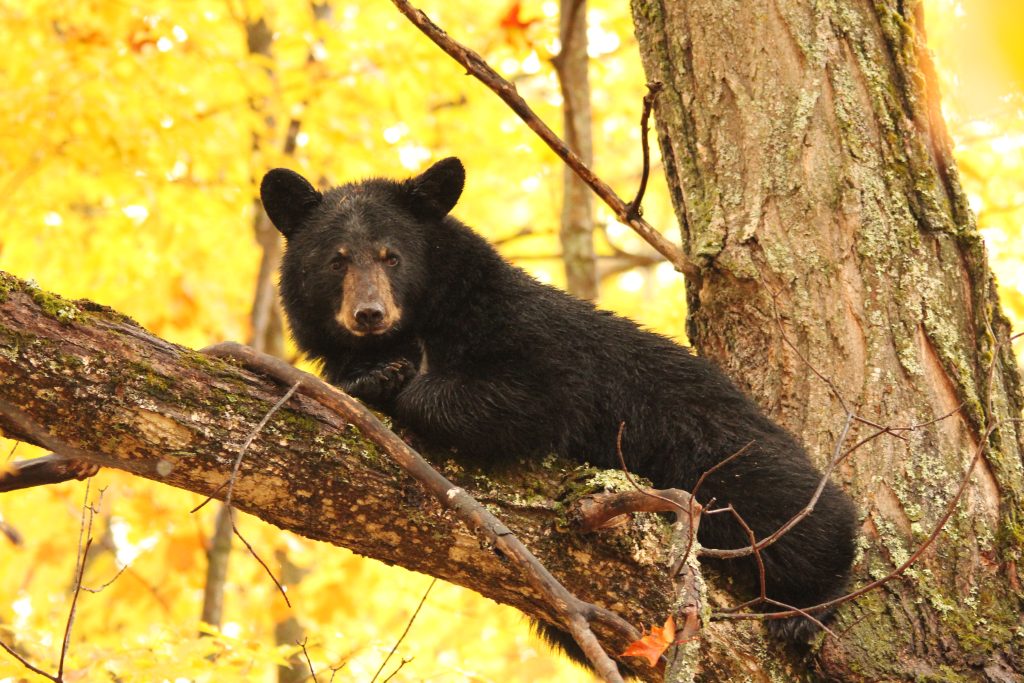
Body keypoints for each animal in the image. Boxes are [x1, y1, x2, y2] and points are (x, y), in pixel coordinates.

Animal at [260, 157, 858, 660]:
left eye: (392, 255)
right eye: (336, 260)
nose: (369, 313)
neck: (423, 322)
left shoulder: (530, 333)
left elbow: (535, 393)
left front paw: (400, 382)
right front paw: (374, 375)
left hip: (715, 440)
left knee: (783, 502)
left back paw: (807, 602)